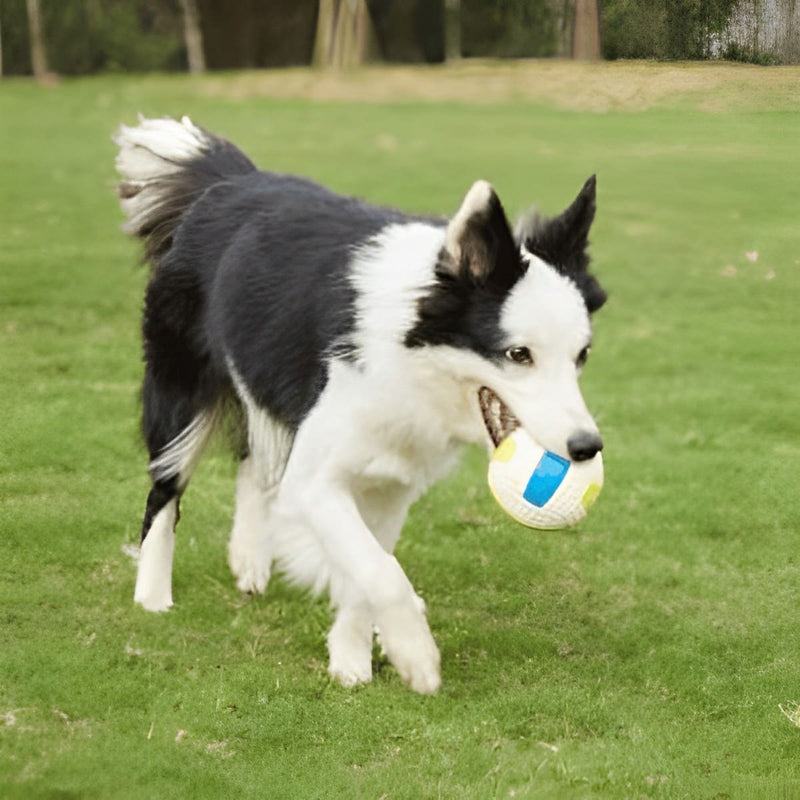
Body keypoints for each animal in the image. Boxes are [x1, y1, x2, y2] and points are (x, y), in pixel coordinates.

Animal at [114, 114, 608, 692]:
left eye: (581, 355)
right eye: (518, 354)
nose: (586, 447)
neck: (413, 359)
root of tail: (232, 181)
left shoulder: (390, 480)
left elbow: (366, 566)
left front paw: (351, 657)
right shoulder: (317, 477)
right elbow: (380, 570)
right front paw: (416, 655)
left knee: (253, 458)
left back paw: (249, 560)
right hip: (180, 391)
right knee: (165, 489)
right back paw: (152, 594)